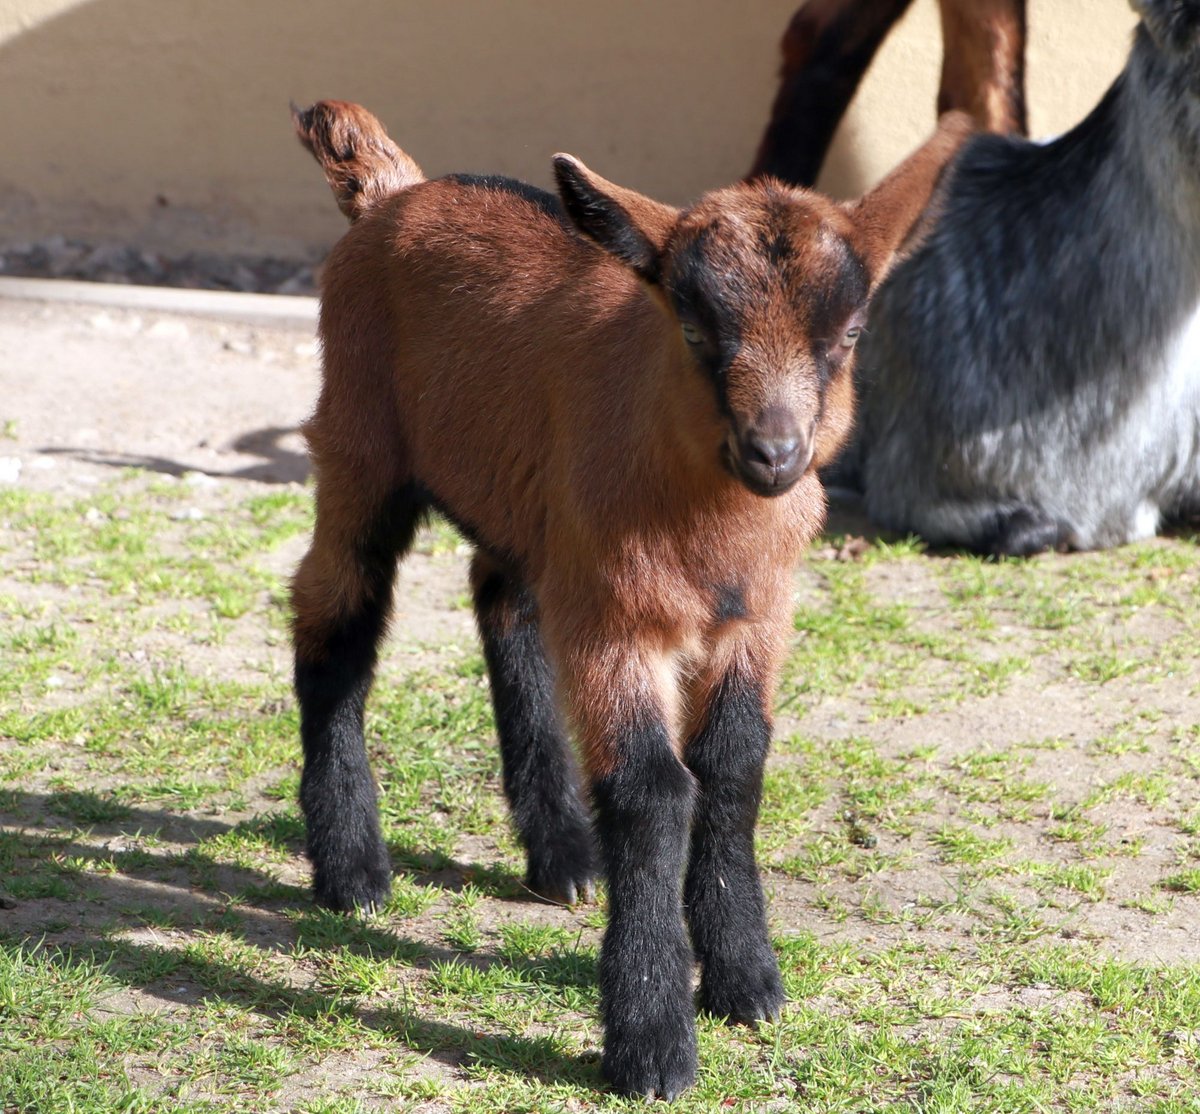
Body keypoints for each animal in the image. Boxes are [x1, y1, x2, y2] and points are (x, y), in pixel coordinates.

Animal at [290, 98, 970, 1098]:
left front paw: (745, 980)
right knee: (334, 615)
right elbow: (653, 791)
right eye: (695, 330)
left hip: (530, 513)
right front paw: (652, 1040)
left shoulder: (756, 618)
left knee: (502, 601)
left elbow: (733, 766)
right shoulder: (619, 625)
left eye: (846, 337)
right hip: (358, 446)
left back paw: (561, 856)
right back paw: (352, 873)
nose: (775, 453)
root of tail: (395, 190)